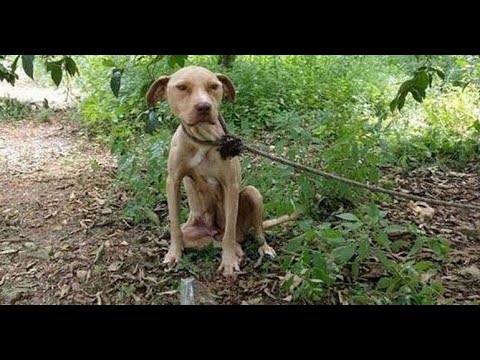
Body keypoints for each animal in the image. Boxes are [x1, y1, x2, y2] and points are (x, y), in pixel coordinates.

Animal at [148, 66, 300, 278]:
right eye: (182, 87)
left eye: (214, 86)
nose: (204, 107)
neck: (203, 141)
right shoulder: (173, 182)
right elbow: (174, 227)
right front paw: (173, 254)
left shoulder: (231, 185)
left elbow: (229, 232)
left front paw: (228, 263)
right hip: (196, 234)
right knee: (216, 240)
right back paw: (236, 251)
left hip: (253, 195)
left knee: (252, 232)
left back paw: (261, 248)